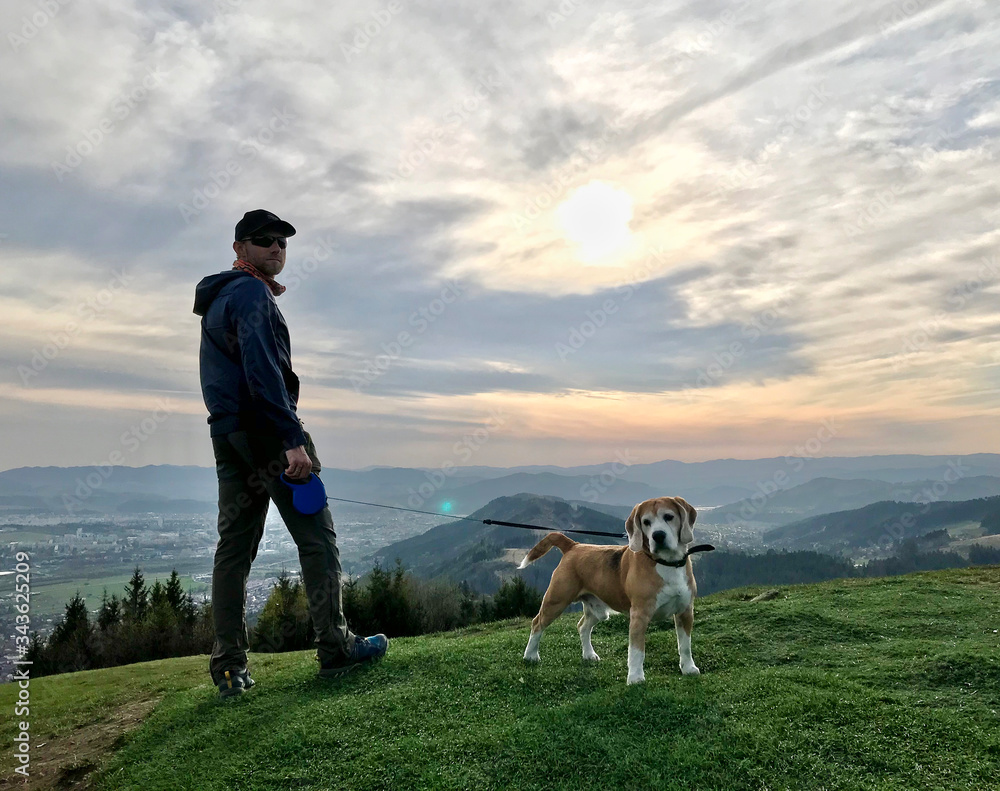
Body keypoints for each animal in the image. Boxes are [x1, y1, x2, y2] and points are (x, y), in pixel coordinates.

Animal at [520, 498, 708, 684]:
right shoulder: (639, 616)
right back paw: (530, 656)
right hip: (556, 601)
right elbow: (637, 651)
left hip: (598, 609)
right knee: (537, 624)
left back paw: (588, 654)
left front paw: (689, 668)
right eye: (646, 522)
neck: (667, 563)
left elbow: (685, 645)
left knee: (582, 626)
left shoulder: (685, 612)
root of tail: (574, 546)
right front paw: (635, 678)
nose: (658, 536)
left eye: (669, 517)